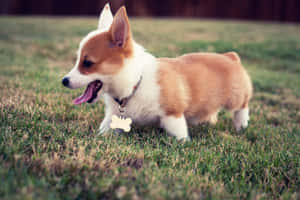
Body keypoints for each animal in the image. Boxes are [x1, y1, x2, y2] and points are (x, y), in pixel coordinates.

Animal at [62, 3, 252, 141]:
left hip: (235, 97)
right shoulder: (112, 118)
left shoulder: (172, 115)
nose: (64, 81)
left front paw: (183, 143)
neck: (134, 84)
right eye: (77, 60)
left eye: (88, 63)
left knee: (242, 106)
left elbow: (179, 135)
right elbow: (103, 131)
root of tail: (230, 57)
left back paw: (241, 125)